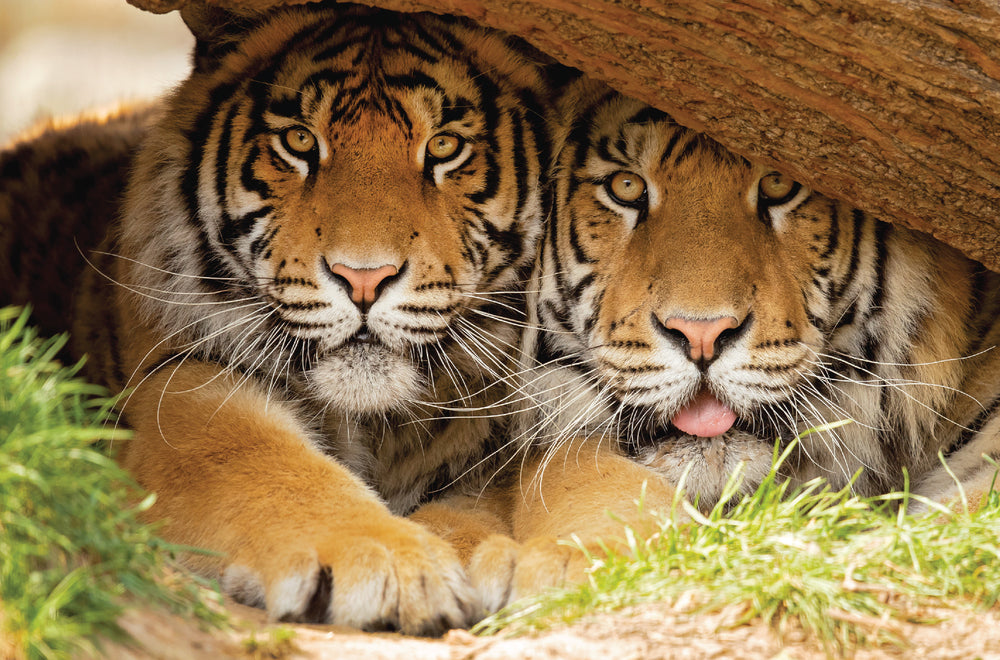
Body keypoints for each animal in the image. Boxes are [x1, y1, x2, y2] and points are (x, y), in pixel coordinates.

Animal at [0, 3, 552, 633]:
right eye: (299, 141)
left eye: (444, 147)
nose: (364, 278)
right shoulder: (180, 386)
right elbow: (268, 466)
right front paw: (389, 562)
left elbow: (479, 502)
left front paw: (488, 557)